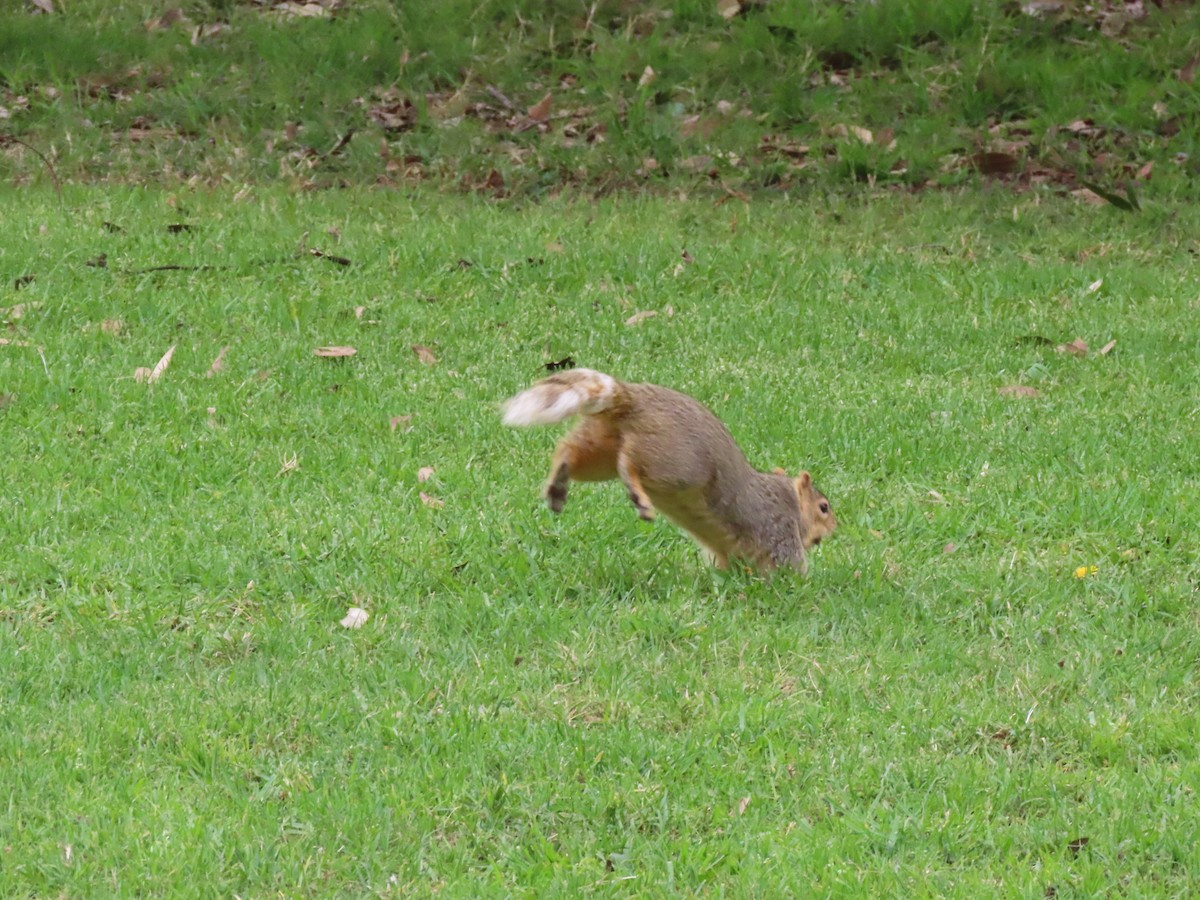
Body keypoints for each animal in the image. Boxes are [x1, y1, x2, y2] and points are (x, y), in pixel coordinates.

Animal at [502, 369, 836, 573]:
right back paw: (638, 495)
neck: (790, 499)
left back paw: (557, 486)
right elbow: (790, 565)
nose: (834, 529)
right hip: (672, 464)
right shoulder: (778, 527)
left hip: (601, 447)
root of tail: (635, 401)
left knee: (569, 451)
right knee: (629, 464)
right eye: (823, 507)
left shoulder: (728, 550)